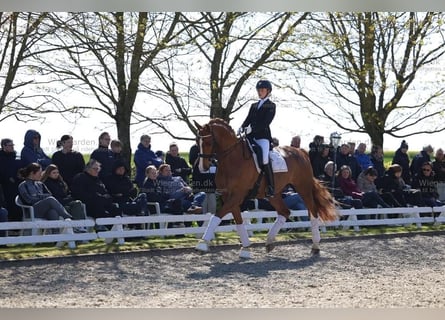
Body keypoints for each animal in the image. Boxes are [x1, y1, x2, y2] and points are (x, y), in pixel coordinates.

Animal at [194, 119, 336, 258]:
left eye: (208, 142)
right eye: (196, 141)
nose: (202, 167)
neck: (233, 159)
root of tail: (301, 152)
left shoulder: (237, 195)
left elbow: (216, 217)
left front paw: (202, 244)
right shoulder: (228, 196)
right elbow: (238, 220)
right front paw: (246, 249)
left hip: (303, 187)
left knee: (313, 212)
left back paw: (315, 246)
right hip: (274, 194)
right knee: (285, 212)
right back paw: (269, 242)